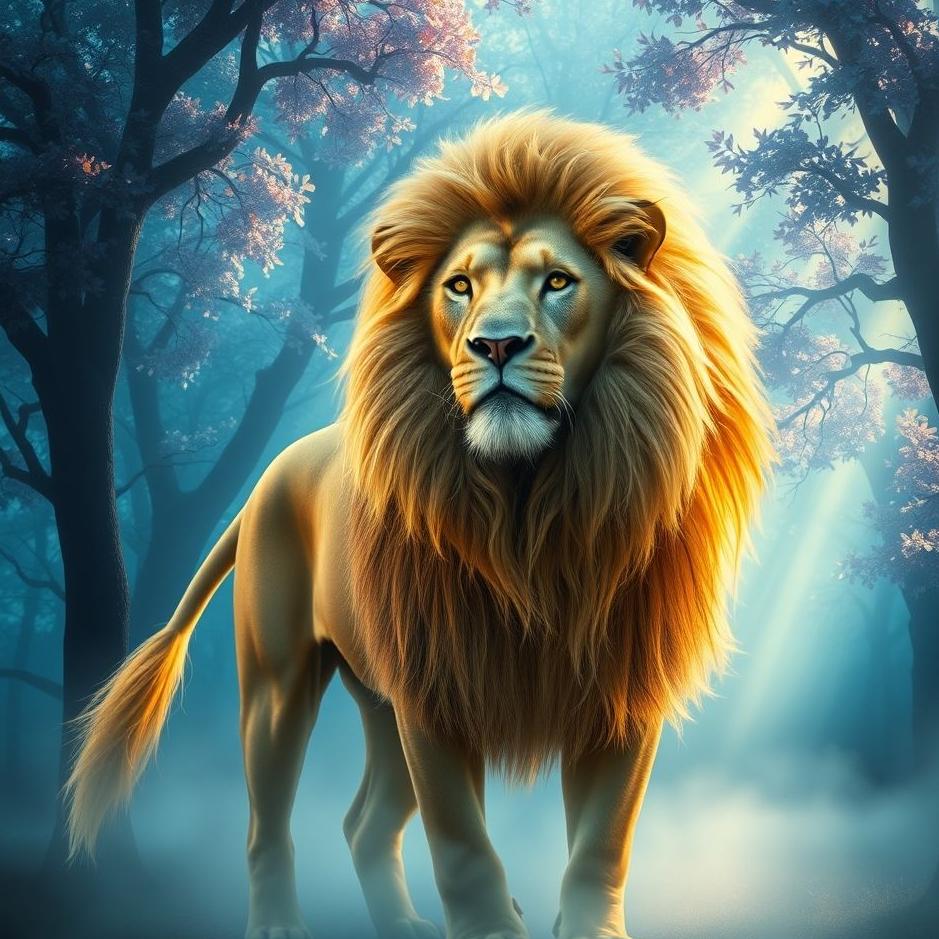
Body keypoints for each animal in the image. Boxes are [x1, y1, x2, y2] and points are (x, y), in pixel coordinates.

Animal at [65, 111, 773, 939]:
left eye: (557, 280)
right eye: (458, 285)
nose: (495, 344)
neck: (532, 503)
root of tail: (266, 477)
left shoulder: (622, 686)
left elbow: (602, 845)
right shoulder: (435, 686)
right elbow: (462, 844)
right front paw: (491, 927)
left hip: (379, 700)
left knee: (362, 821)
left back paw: (400, 923)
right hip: (279, 684)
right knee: (266, 822)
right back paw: (277, 922)